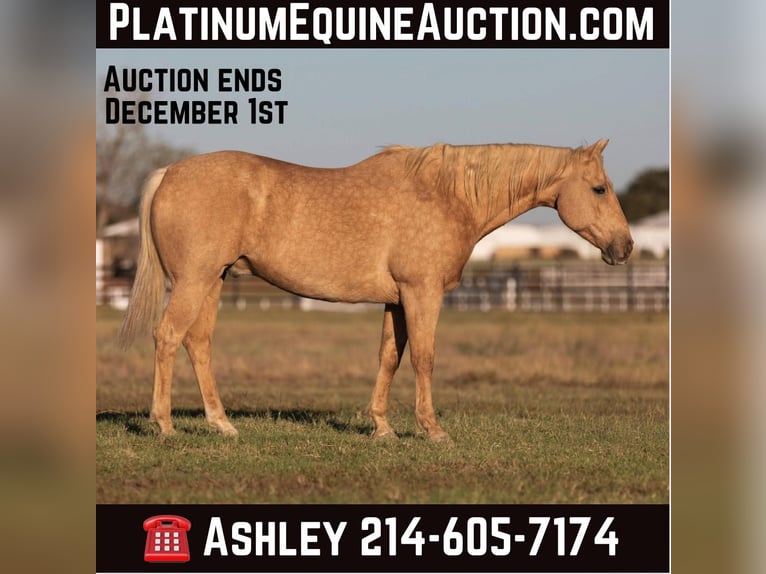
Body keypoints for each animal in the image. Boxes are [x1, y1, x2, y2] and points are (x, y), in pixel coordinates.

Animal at [119, 139, 633, 441]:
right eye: (599, 188)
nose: (625, 246)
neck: (446, 196)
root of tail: (169, 173)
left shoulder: (396, 299)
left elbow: (390, 356)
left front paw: (381, 427)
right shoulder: (422, 293)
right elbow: (423, 358)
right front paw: (432, 430)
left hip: (213, 281)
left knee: (198, 344)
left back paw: (222, 424)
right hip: (194, 281)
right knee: (168, 338)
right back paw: (164, 425)